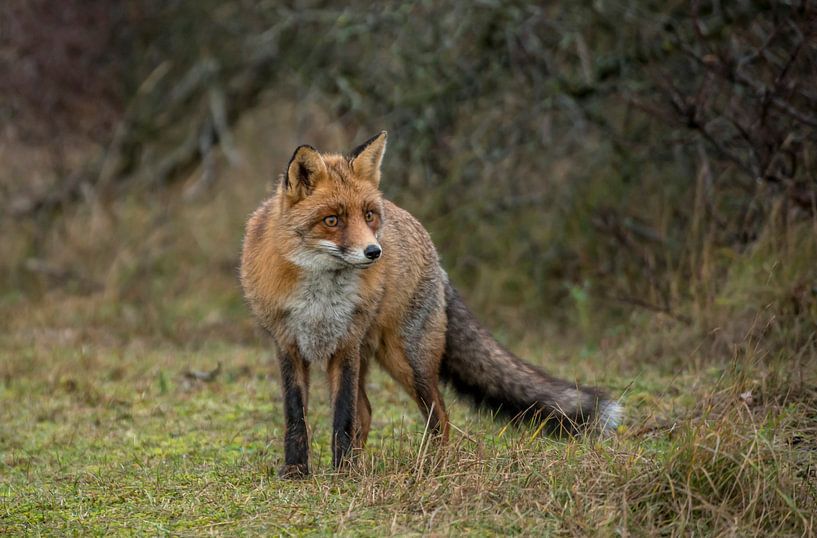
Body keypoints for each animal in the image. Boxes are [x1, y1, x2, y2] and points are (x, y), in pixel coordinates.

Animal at [240, 131, 622, 478]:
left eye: (368, 215)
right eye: (332, 220)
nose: (374, 252)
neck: (320, 298)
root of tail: (434, 253)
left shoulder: (346, 344)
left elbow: (342, 418)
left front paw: (342, 474)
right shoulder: (288, 345)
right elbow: (296, 417)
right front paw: (298, 471)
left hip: (410, 361)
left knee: (439, 417)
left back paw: (431, 466)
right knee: (369, 413)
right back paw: (366, 467)